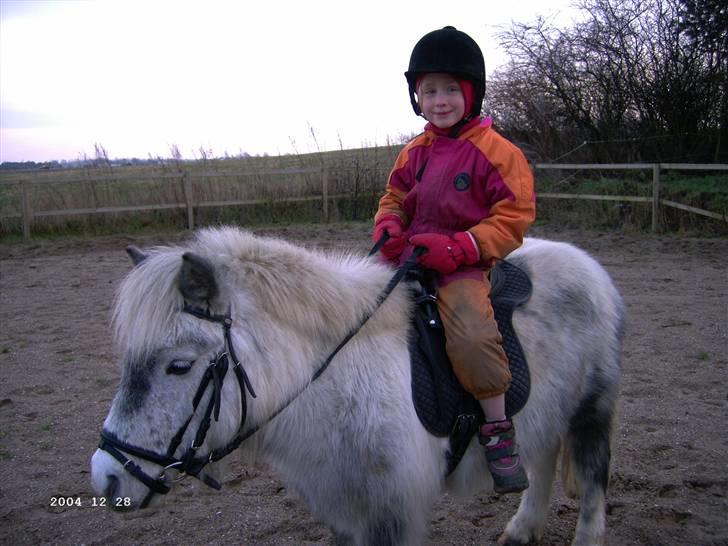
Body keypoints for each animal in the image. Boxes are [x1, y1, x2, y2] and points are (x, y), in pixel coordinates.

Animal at [92, 223, 624, 540]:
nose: (106, 478)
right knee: (542, 458)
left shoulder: (392, 510)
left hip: (591, 413)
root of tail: (589, 266)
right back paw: (522, 527)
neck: (339, 382)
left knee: (591, 480)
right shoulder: (342, 506)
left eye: (179, 366)